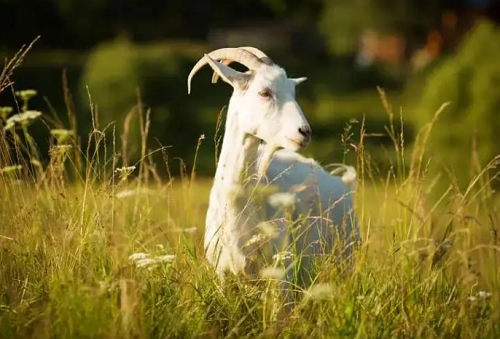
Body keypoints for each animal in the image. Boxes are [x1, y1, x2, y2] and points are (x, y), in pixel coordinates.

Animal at [188, 46, 360, 292]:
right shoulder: (222, 274)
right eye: (264, 92)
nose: (304, 132)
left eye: (293, 91)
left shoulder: (281, 275)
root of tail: (344, 183)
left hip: (345, 256)